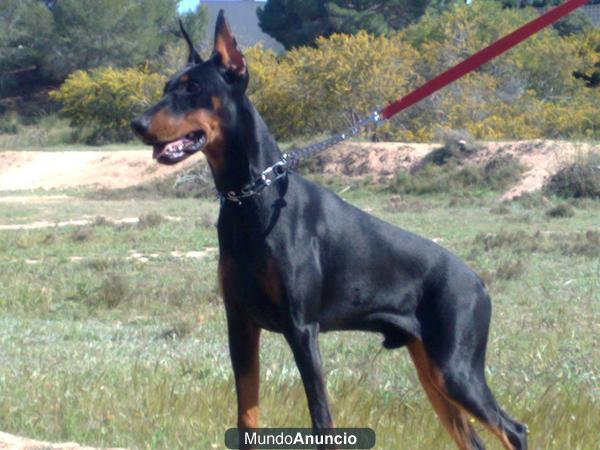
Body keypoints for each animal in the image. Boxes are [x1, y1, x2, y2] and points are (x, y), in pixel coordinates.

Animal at [130, 10, 524, 450]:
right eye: (167, 87)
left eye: (193, 87)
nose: (136, 123)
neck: (253, 197)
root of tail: (479, 282)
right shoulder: (240, 326)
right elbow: (247, 416)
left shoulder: (302, 330)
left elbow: (322, 419)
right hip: (433, 372)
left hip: (456, 369)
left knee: (513, 430)